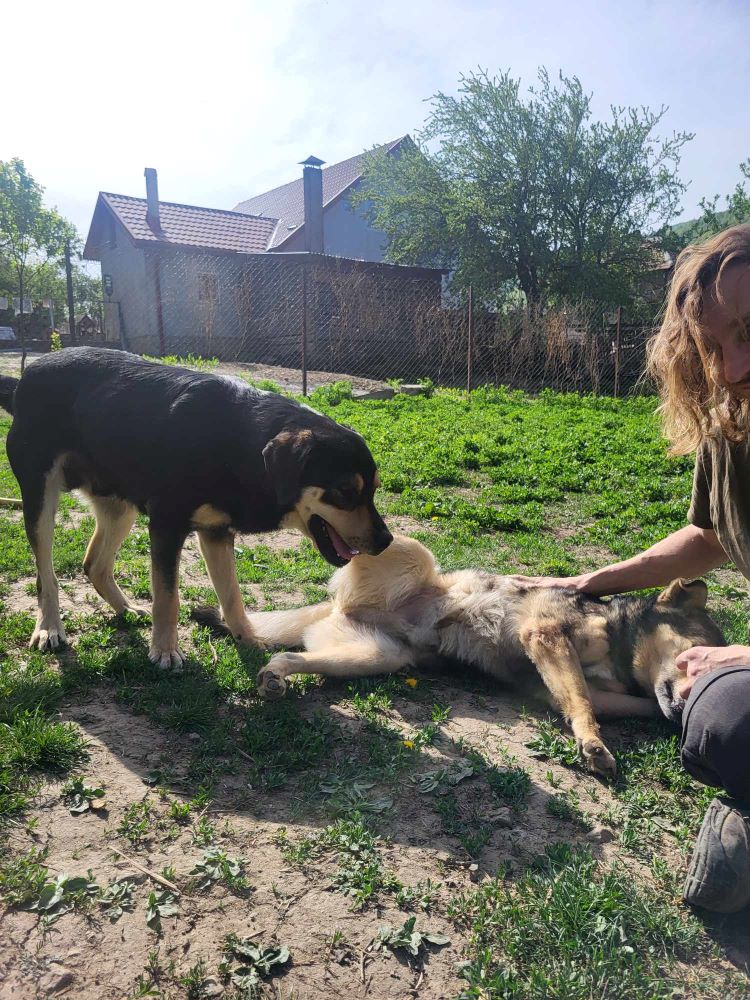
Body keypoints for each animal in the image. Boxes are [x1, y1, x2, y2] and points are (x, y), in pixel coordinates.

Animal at [0, 348, 396, 668]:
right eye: (345, 491)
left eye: (374, 489)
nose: (386, 542)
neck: (240, 444)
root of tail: (25, 378)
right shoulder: (166, 526)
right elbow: (168, 596)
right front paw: (165, 651)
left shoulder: (216, 532)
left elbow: (232, 596)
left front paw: (248, 639)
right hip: (40, 499)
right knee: (46, 574)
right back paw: (50, 627)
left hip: (120, 507)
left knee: (94, 564)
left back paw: (125, 608)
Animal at [244, 536, 724, 776]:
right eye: (696, 653)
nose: (687, 711)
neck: (618, 638)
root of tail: (341, 605)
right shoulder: (547, 636)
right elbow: (583, 704)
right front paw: (593, 744)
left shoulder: (576, 684)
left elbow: (607, 702)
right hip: (412, 556)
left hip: (377, 655)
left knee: (293, 657)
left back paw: (274, 676)